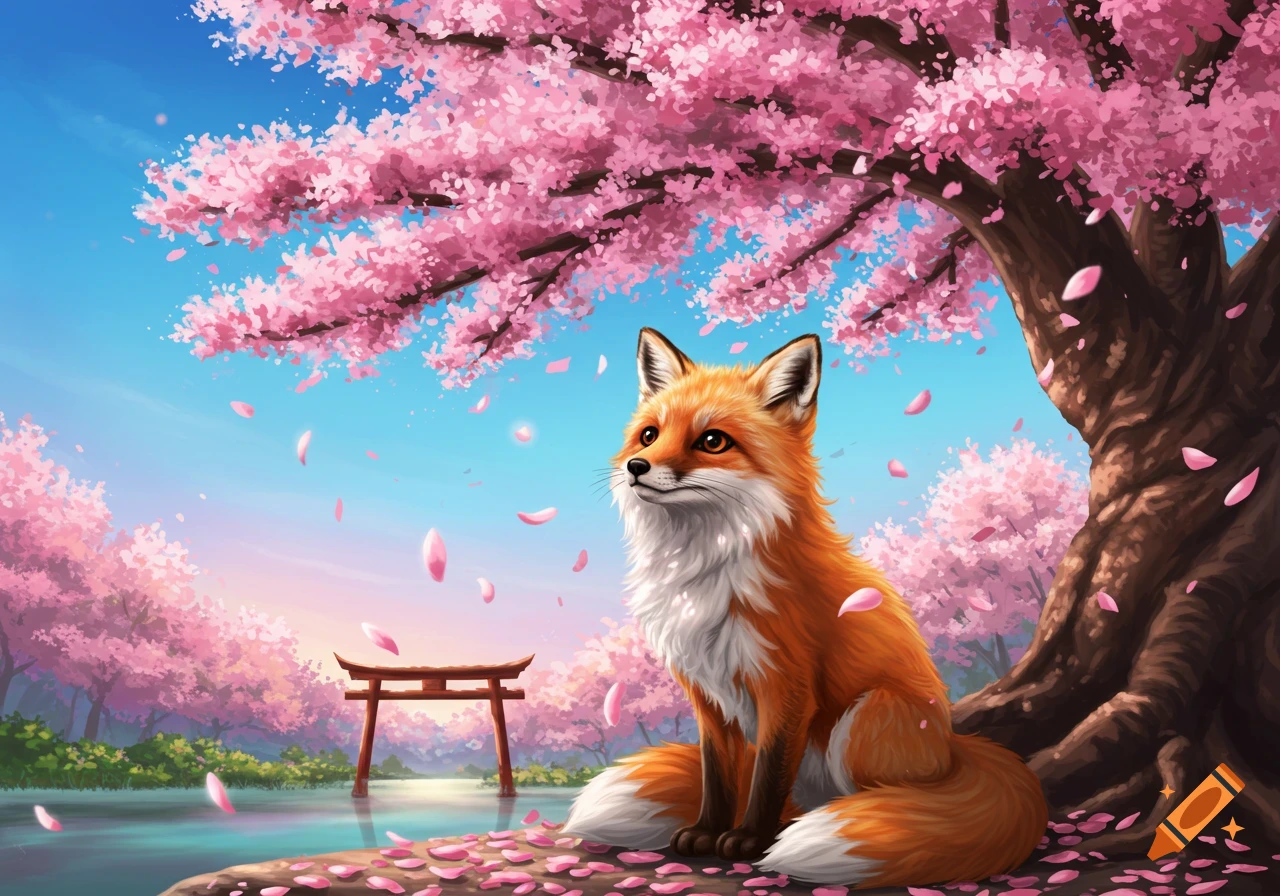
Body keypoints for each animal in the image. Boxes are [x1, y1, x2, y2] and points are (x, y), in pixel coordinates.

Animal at [561, 328, 1048, 888]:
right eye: (648, 435)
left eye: (712, 441)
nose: (636, 468)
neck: (705, 568)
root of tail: (954, 746)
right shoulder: (708, 695)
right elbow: (717, 778)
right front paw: (707, 832)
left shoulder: (786, 685)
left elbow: (768, 776)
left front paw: (748, 841)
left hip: (863, 718)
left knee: (888, 804)